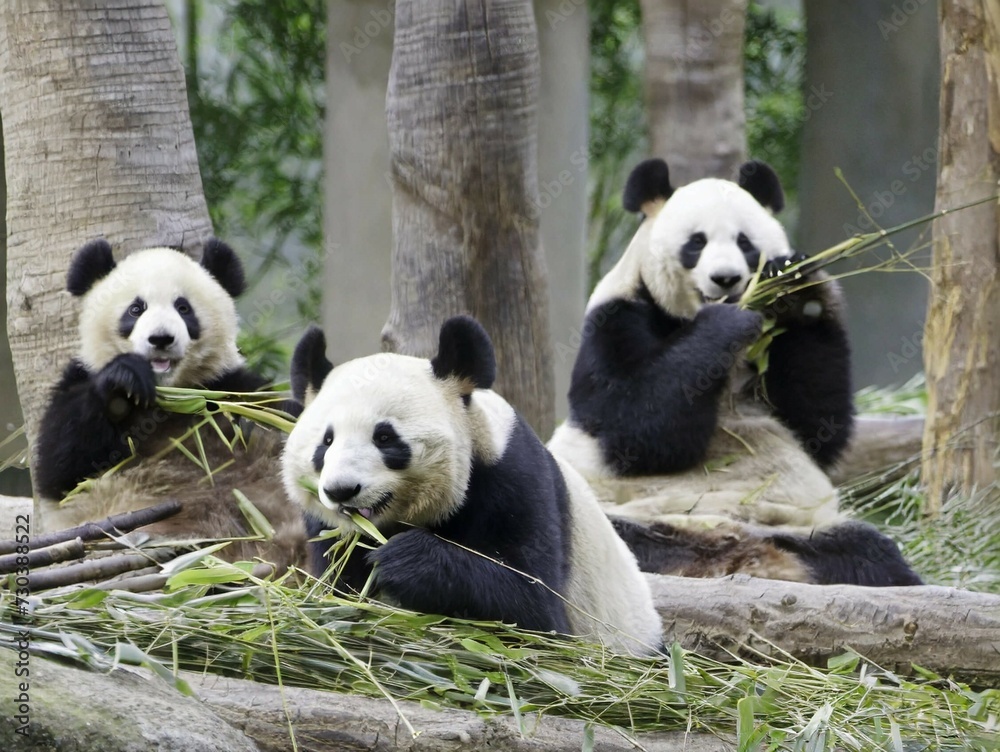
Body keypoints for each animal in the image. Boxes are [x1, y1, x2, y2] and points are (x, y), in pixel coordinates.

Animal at [33, 238, 306, 570]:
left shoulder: (228, 385)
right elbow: (59, 463)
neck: (173, 395)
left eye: (183, 308)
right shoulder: (78, 380)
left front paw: (254, 425)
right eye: (136, 309)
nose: (161, 339)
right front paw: (123, 380)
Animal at [282, 315, 664, 656]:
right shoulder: (325, 528)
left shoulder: (513, 480)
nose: (341, 490)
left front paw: (404, 561)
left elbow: (536, 610)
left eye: (385, 437)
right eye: (326, 442)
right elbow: (338, 584)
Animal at [548, 159, 921, 586]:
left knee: (868, 553)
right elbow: (632, 428)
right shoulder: (614, 317)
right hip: (613, 517)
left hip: (799, 530)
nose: (725, 279)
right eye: (696, 242)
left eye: (745, 242)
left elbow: (818, 426)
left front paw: (795, 285)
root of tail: (736, 549)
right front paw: (726, 323)